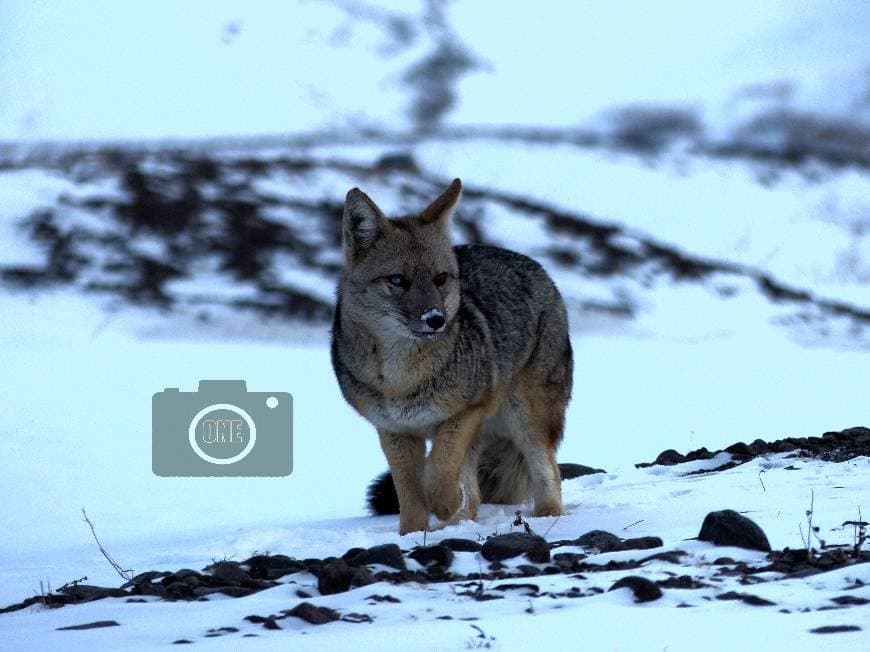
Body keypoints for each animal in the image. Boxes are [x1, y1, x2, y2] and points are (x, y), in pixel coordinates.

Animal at [332, 180, 572, 536]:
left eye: (440, 278)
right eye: (397, 280)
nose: (435, 319)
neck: (401, 380)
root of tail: (538, 268)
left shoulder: (467, 412)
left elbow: (438, 471)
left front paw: (445, 503)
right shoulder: (393, 431)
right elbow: (410, 495)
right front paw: (412, 534)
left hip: (526, 419)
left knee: (549, 475)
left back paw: (543, 516)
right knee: (475, 498)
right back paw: (455, 525)